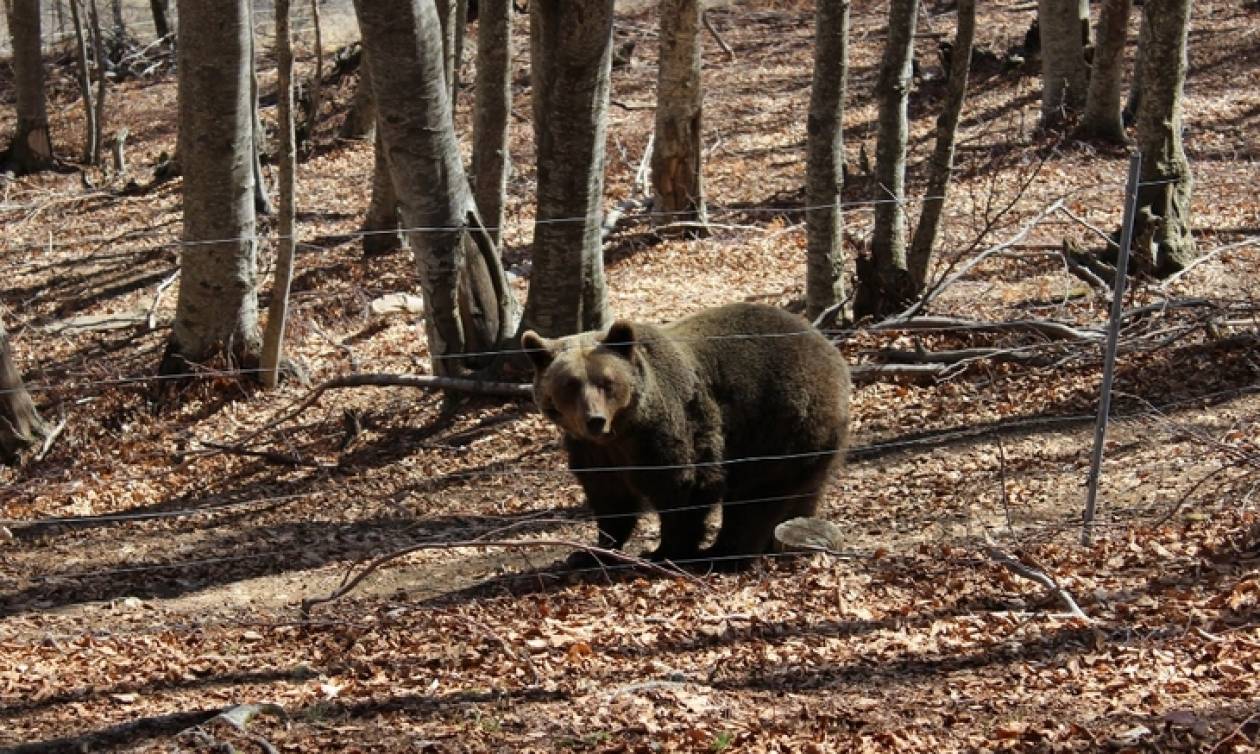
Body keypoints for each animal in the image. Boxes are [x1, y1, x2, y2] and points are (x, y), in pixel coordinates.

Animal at [516, 303, 851, 569]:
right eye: (570, 384)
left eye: (606, 382)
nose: (594, 420)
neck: (622, 431)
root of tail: (830, 350)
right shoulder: (592, 450)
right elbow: (610, 497)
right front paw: (591, 552)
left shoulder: (669, 429)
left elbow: (685, 484)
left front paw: (664, 551)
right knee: (804, 490)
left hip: (780, 424)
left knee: (757, 495)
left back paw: (724, 554)